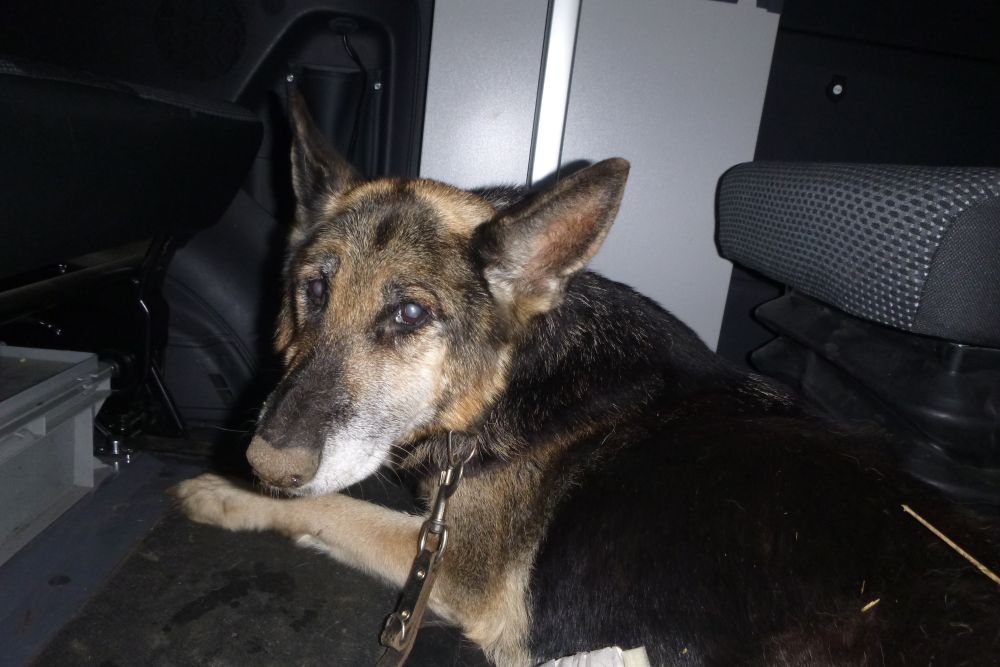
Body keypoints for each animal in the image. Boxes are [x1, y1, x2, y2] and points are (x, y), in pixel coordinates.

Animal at [176, 93, 999, 666]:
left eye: (409, 314)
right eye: (312, 291)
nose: (265, 463)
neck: (509, 386)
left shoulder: (454, 568)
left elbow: (336, 509)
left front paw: (228, 494)